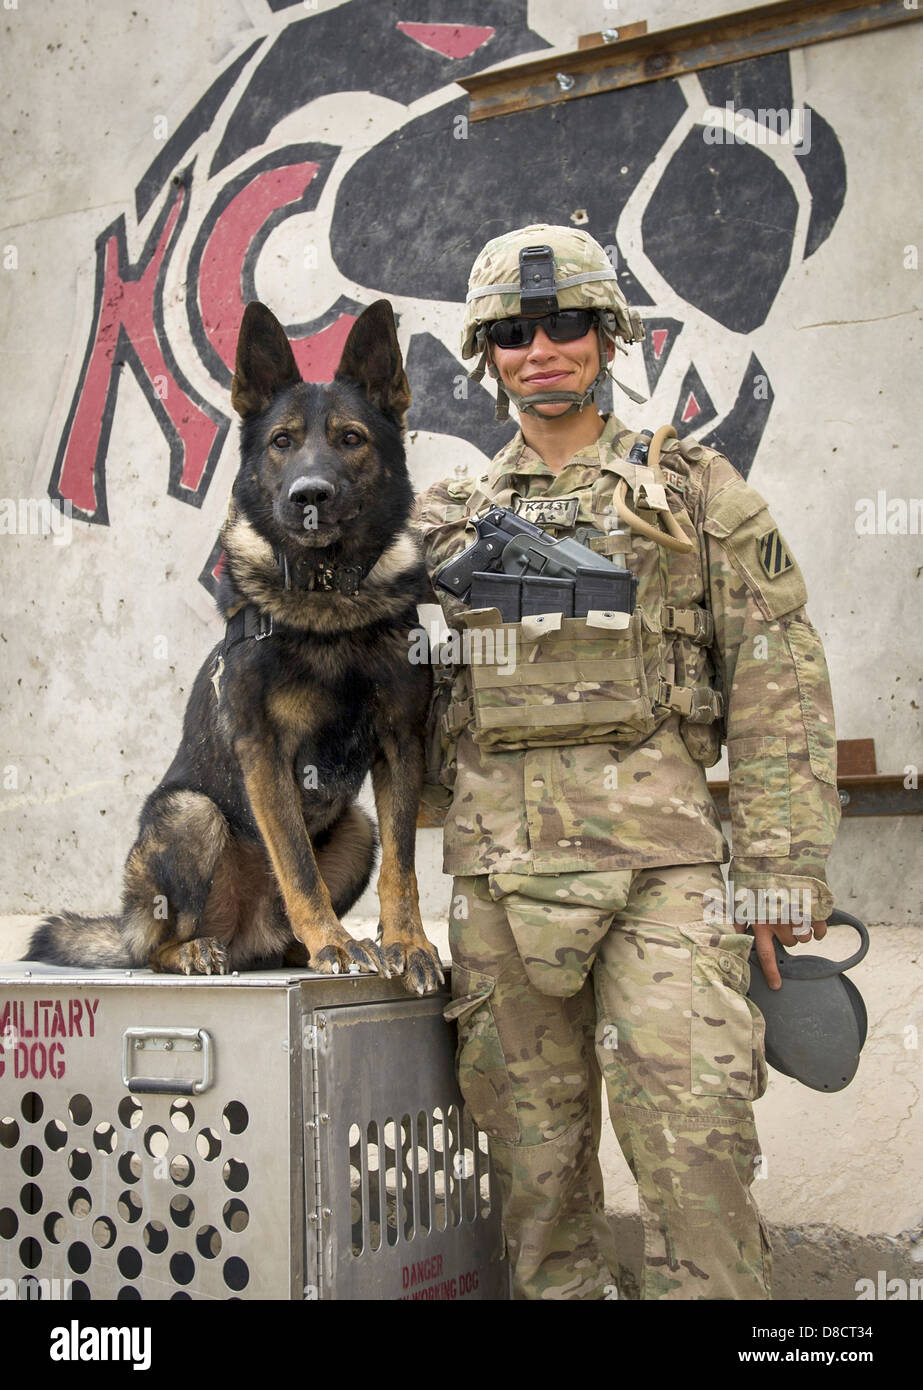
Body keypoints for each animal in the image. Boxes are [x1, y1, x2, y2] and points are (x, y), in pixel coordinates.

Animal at [28, 298, 444, 995]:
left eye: (350, 439)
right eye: (282, 442)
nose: (309, 495)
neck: (327, 597)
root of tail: (246, 936)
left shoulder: (400, 745)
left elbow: (404, 868)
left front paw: (407, 944)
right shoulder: (266, 754)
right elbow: (297, 864)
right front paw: (335, 942)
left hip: (356, 829)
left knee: (291, 926)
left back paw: (323, 945)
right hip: (190, 815)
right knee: (159, 944)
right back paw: (206, 951)